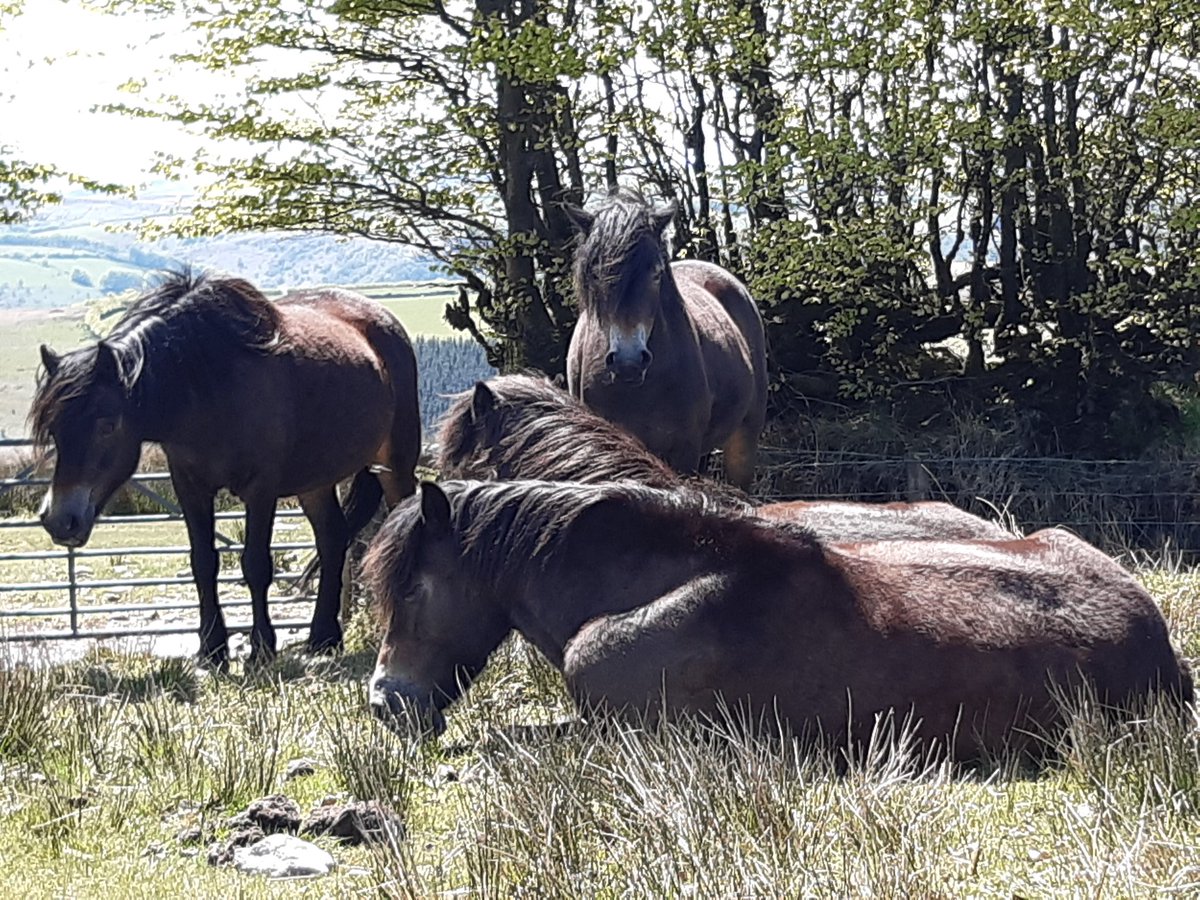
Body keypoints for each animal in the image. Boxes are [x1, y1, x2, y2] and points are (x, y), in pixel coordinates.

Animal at [30, 271, 421, 668]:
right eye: (54, 429)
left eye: (107, 425)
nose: (60, 519)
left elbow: (255, 564)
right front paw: (212, 648)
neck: (209, 389)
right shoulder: (189, 486)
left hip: (396, 466)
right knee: (332, 539)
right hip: (315, 483)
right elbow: (203, 562)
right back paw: (323, 637)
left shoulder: (261, 490)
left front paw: (261, 647)